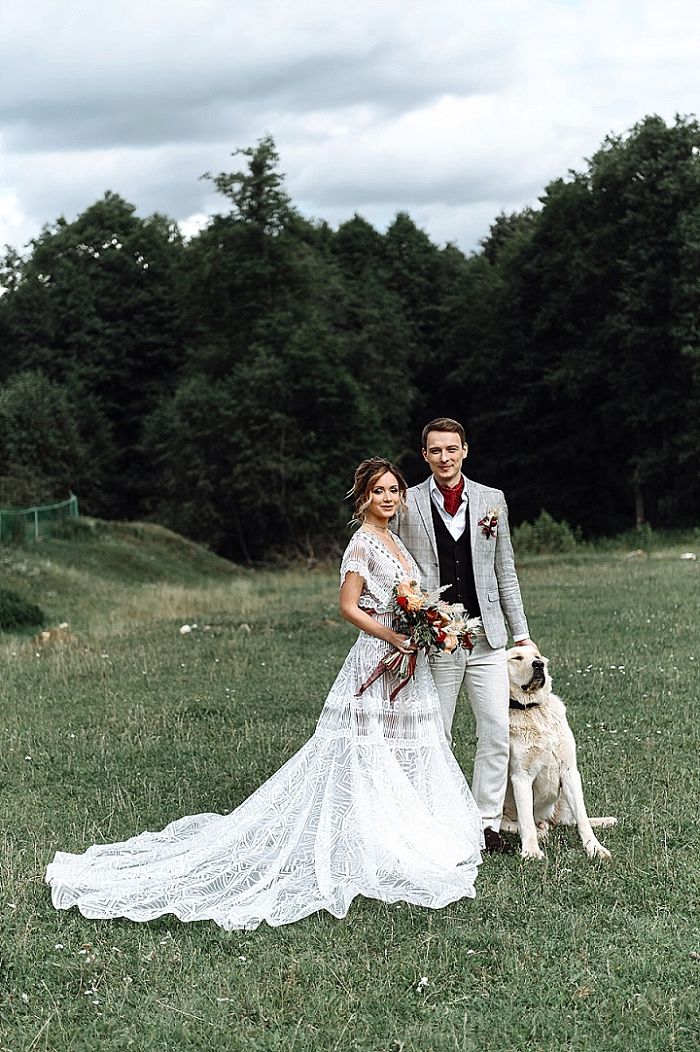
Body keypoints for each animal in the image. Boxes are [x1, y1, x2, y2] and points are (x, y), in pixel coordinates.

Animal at [498, 643, 614, 858]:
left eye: (537, 656)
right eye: (517, 658)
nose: (538, 665)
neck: (533, 709)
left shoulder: (569, 772)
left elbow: (582, 818)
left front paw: (594, 848)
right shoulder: (521, 777)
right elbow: (526, 822)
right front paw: (532, 852)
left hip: (563, 800)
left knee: (568, 820)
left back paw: (605, 821)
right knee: (515, 824)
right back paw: (541, 831)